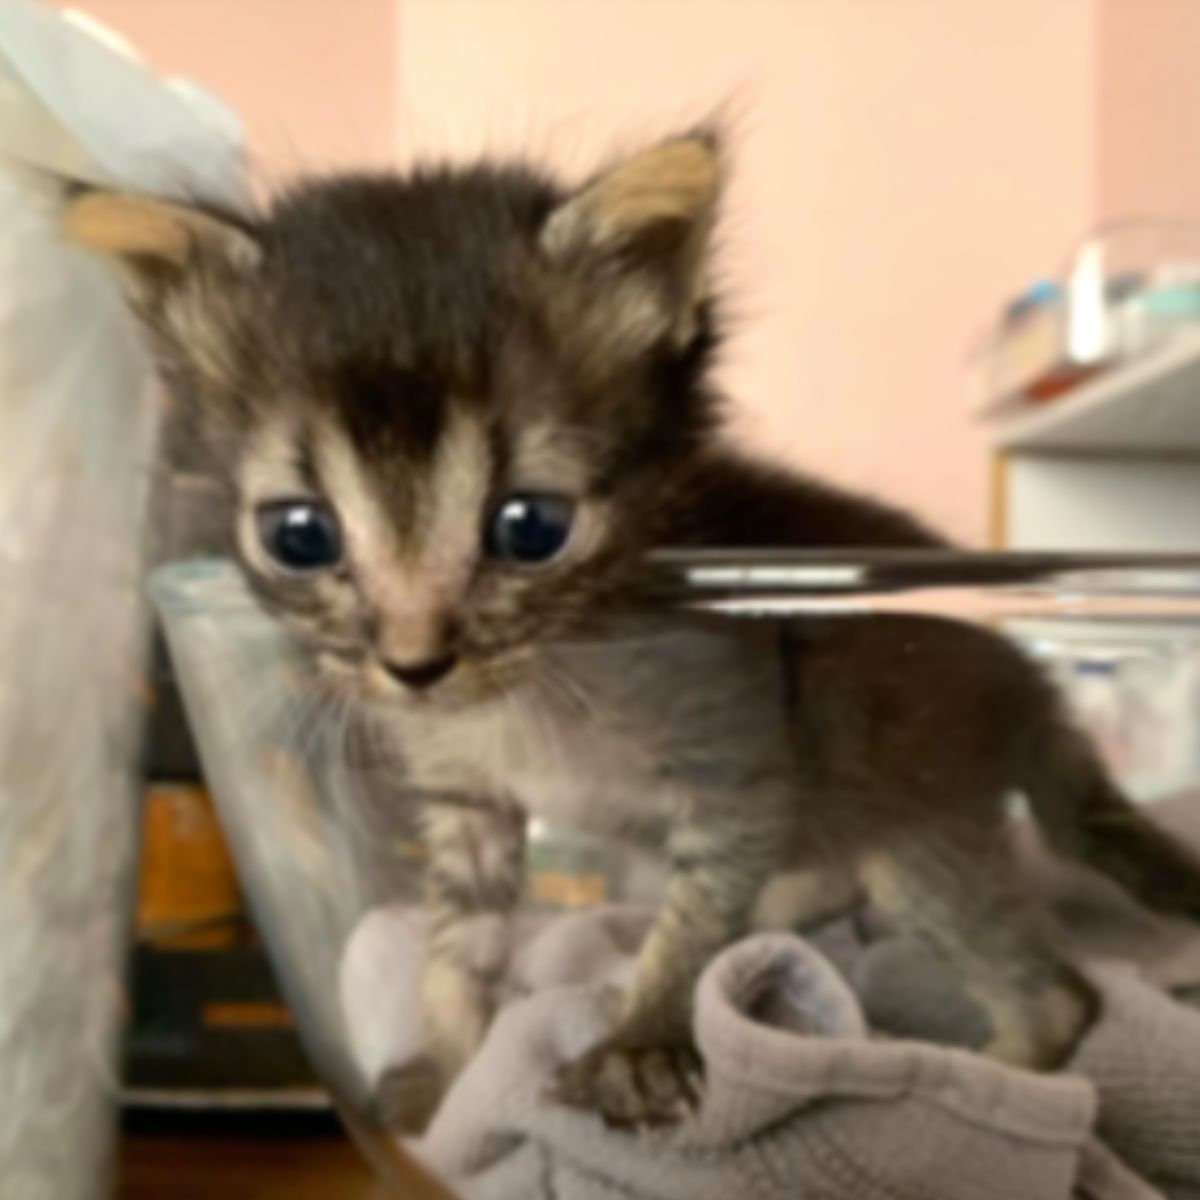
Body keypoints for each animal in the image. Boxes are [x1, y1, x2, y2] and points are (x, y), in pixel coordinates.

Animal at [70, 136, 1200, 1128]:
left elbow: (692, 925)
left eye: (531, 526)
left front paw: (639, 1040)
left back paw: (968, 1082)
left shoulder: (740, 771)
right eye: (298, 535)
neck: (541, 683)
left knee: (1062, 996)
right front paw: (445, 1069)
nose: (415, 663)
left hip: (921, 828)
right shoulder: (468, 802)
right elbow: (456, 946)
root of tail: (1034, 682)